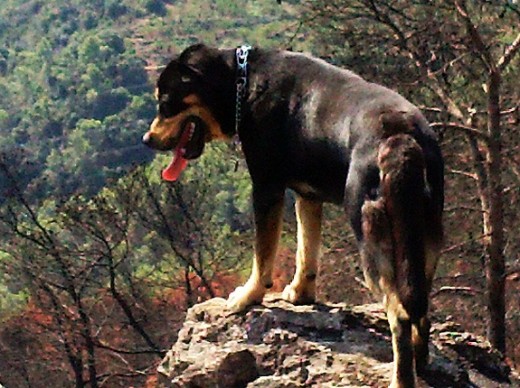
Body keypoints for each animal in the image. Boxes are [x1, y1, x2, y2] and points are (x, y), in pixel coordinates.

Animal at [142, 43, 442, 388]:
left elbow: (263, 255)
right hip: (423, 236)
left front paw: (248, 297)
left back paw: (401, 377)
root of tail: (400, 140)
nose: (147, 140)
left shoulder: (266, 188)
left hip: (373, 237)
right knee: (421, 306)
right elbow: (306, 251)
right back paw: (421, 360)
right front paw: (301, 294)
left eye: (166, 103)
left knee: (400, 314)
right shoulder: (307, 197)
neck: (242, 82)